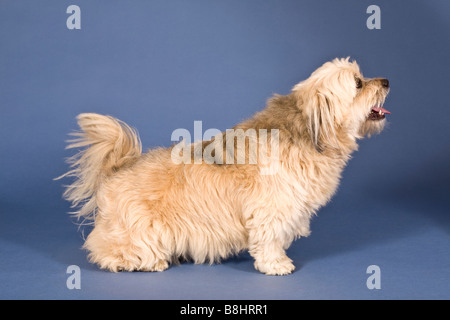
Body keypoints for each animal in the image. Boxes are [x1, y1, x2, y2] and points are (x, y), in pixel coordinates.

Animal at [57, 57, 390, 276]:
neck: (306, 132)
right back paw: (147, 261)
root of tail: (118, 168)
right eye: (358, 83)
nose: (386, 81)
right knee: (106, 252)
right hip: (139, 230)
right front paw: (276, 264)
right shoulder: (271, 209)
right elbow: (270, 240)